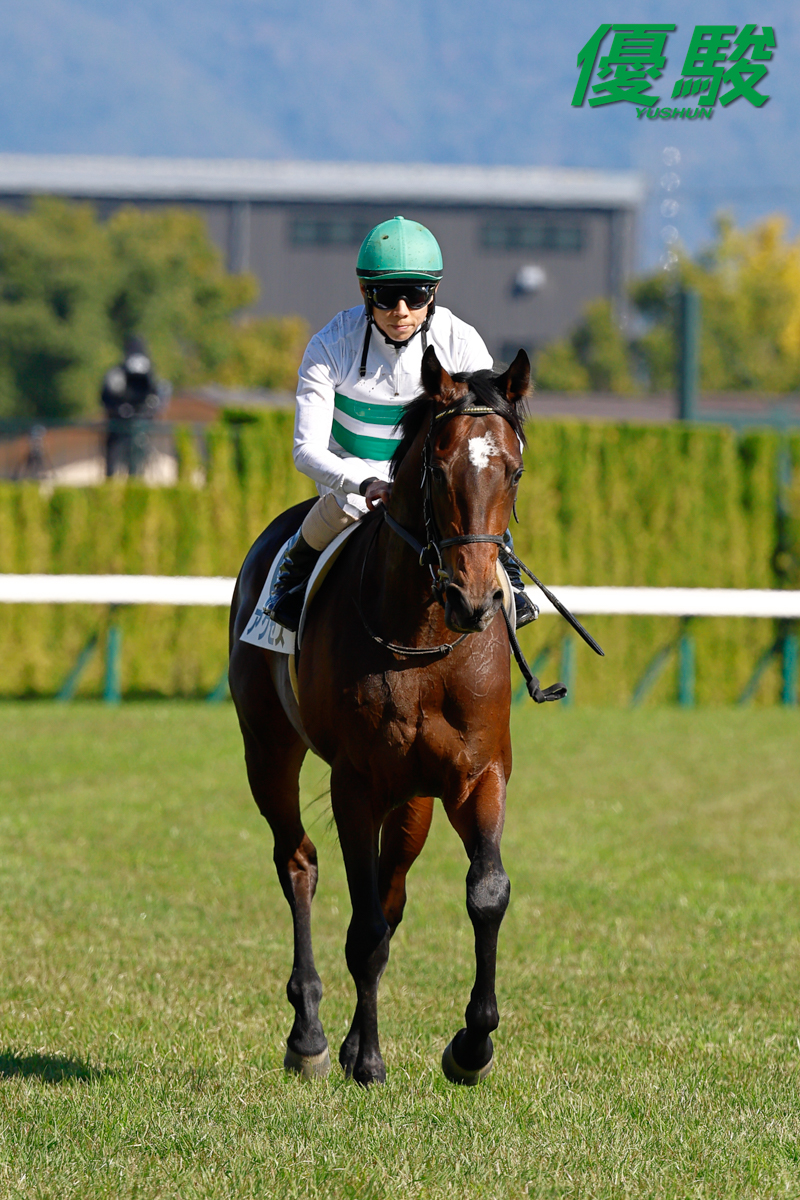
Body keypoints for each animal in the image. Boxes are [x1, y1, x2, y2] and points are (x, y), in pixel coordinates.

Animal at [228, 346, 531, 1087]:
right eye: (438, 467)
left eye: (512, 469)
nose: (474, 600)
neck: (425, 637)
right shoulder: (357, 782)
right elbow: (363, 928)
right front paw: (365, 1057)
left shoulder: (477, 774)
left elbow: (485, 892)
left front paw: (472, 1045)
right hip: (268, 750)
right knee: (298, 862)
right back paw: (309, 1034)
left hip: (413, 798)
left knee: (389, 894)